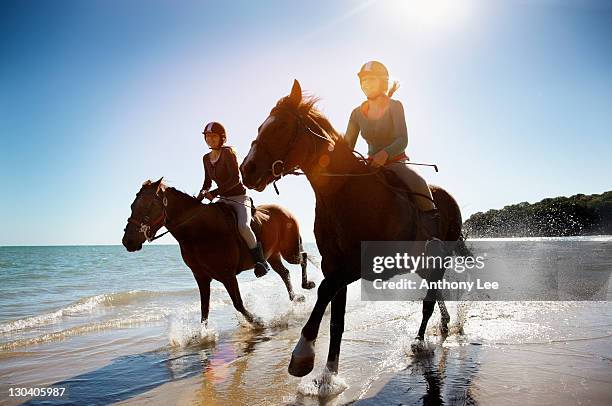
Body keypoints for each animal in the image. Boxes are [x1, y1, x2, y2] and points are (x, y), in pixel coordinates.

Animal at [122, 178, 318, 326]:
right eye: (132, 205)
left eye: (147, 205)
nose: (127, 242)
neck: (198, 231)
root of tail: (285, 211)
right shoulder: (201, 277)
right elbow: (204, 309)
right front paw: (202, 336)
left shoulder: (227, 275)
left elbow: (238, 303)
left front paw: (257, 321)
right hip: (273, 255)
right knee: (285, 273)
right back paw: (296, 298)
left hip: (289, 251)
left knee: (302, 258)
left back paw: (307, 285)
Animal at [239, 80, 464, 378]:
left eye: (281, 126)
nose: (246, 170)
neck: (344, 191)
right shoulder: (334, 264)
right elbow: (336, 321)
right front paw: (328, 376)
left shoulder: (358, 265)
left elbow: (324, 291)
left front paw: (302, 354)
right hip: (422, 263)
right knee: (433, 292)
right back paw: (445, 324)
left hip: (439, 258)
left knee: (428, 302)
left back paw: (419, 341)